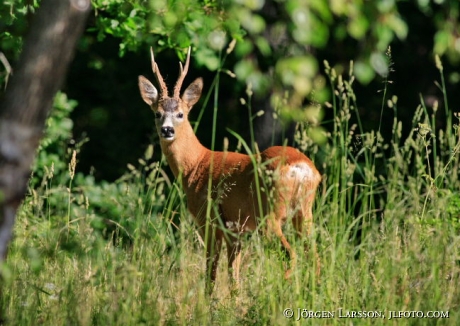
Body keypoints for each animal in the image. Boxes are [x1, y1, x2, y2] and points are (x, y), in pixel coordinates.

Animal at [138, 47, 322, 294]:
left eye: (180, 114)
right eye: (157, 113)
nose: (167, 130)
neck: (195, 165)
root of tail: (302, 168)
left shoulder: (208, 218)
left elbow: (211, 271)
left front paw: (208, 302)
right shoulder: (235, 229)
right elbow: (233, 274)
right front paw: (234, 299)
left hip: (270, 214)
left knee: (289, 254)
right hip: (304, 212)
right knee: (314, 255)